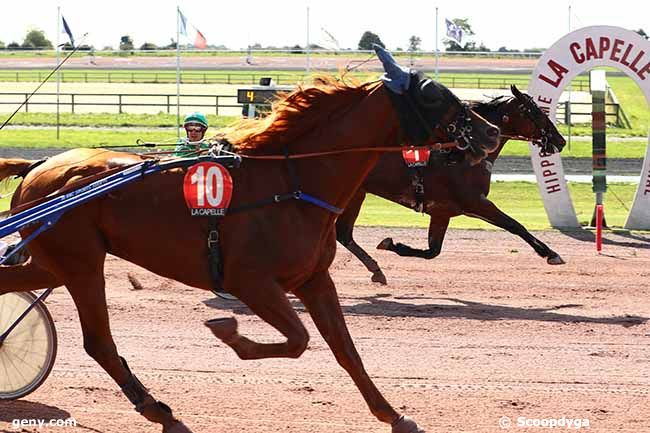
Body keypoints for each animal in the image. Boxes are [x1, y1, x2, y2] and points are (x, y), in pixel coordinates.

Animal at [0, 50, 498, 432]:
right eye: (433, 93)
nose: (491, 132)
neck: (292, 181)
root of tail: (38, 166)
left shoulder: (314, 279)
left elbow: (345, 350)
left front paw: (394, 415)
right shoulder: (250, 282)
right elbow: (297, 340)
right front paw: (229, 332)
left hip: (57, 261)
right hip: (81, 262)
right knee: (99, 342)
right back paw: (160, 411)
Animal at [336, 86, 564, 286]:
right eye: (535, 112)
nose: (560, 140)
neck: (461, 156)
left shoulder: (442, 212)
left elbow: (432, 251)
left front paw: (392, 244)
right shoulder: (476, 203)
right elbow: (515, 225)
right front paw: (551, 254)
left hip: (357, 193)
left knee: (343, 234)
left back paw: (376, 270)